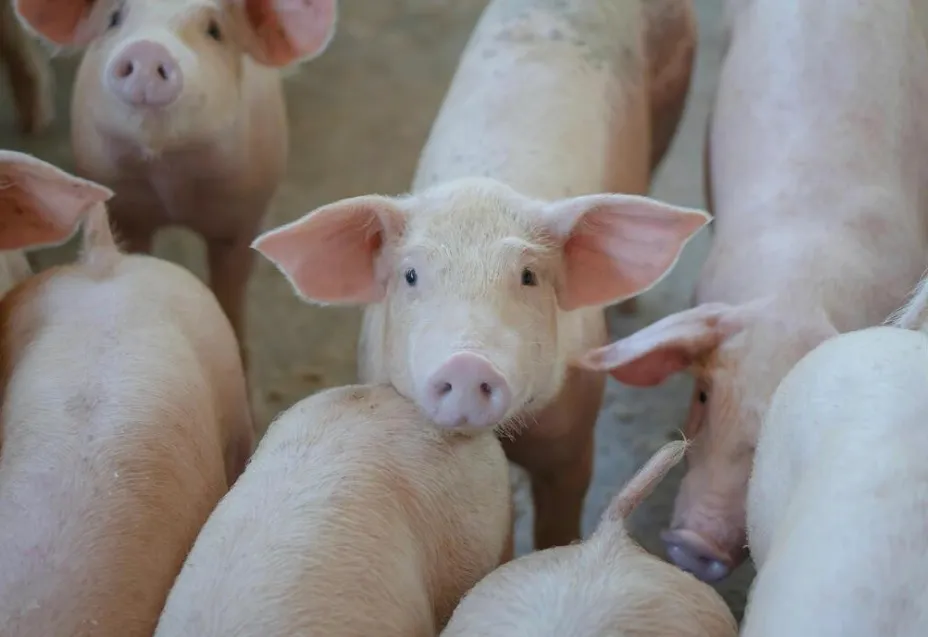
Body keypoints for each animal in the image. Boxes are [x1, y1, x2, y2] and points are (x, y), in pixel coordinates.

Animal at [12, 0, 339, 359]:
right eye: (114, 19)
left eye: (214, 30)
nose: (147, 49)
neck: (171, 180)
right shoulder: (125, 209)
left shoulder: (244, 215)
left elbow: (232, 286)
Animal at [252, 0, 708, 552]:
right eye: (410, 275)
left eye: (529, 276)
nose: (468, 363)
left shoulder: (573, 436)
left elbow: (560, 519)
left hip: (674, 90)